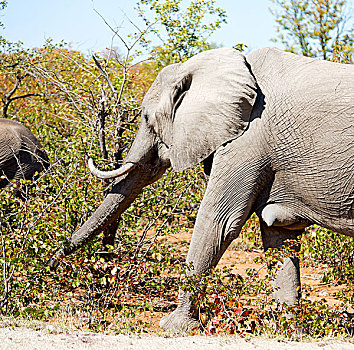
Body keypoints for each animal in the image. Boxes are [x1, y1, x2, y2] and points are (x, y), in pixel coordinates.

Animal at [49, 47, 354, 332]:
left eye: (146, 117)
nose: (50, 263)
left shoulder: (248, 141)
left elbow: (218, 223)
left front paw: (174, 326)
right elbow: (280, 234)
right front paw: (289, 327)